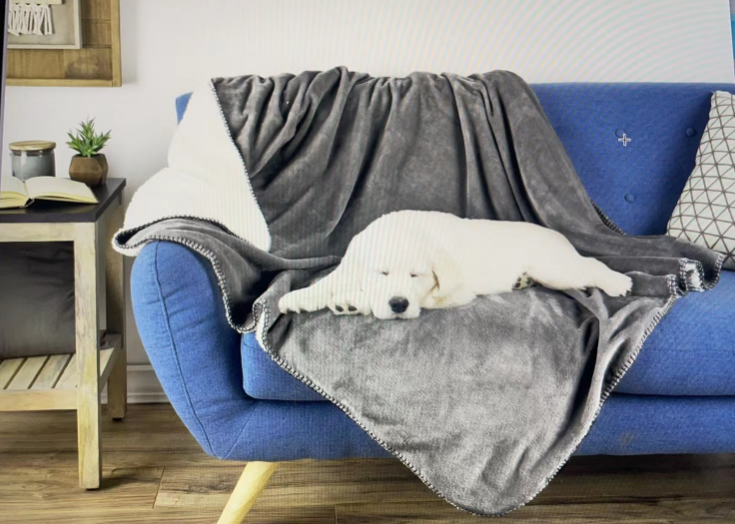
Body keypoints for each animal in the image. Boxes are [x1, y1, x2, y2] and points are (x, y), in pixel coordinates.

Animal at [278, 210, 633, 320]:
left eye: (415, 275)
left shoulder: (452, 292)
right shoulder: (351, 260)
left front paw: (353, 301)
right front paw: (298, 298)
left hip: (555, 267)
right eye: (383, 273)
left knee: (590, 265)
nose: (398, 304)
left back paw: (619, 282)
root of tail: (558, 235)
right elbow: (329, 280)